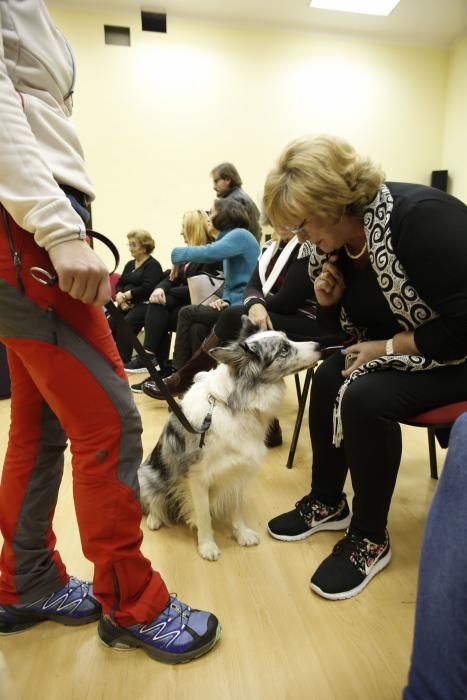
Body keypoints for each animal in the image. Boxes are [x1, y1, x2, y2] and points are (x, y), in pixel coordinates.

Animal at [139, 320, 322, 560]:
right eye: (284, 349)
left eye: (288, 338)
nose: (319, 345)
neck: (233, 404)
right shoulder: (197, 477)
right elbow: (204, 515)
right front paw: (207, 546)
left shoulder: (239, 469)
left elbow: (237, 508)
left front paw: (241, 534)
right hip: (147, 472)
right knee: (152, 500)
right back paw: (155, 519)